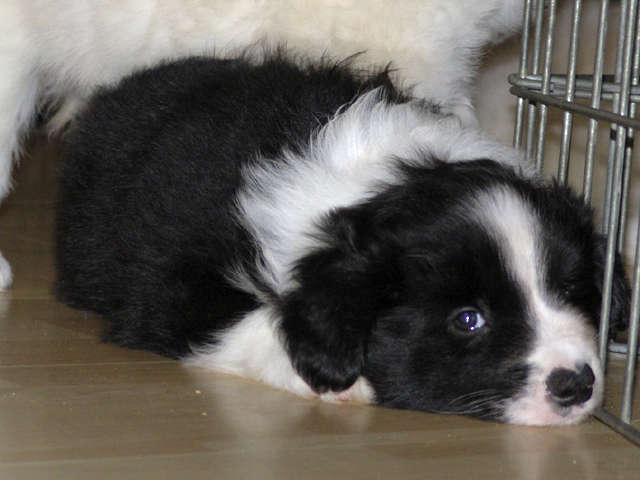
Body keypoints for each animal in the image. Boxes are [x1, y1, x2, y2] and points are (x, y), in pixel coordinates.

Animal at [55, 53, 629, 425]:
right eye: (468, 320)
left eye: (571, 291)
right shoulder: (180, 297)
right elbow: (260, 330)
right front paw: (349, 383)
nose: (576, 384)